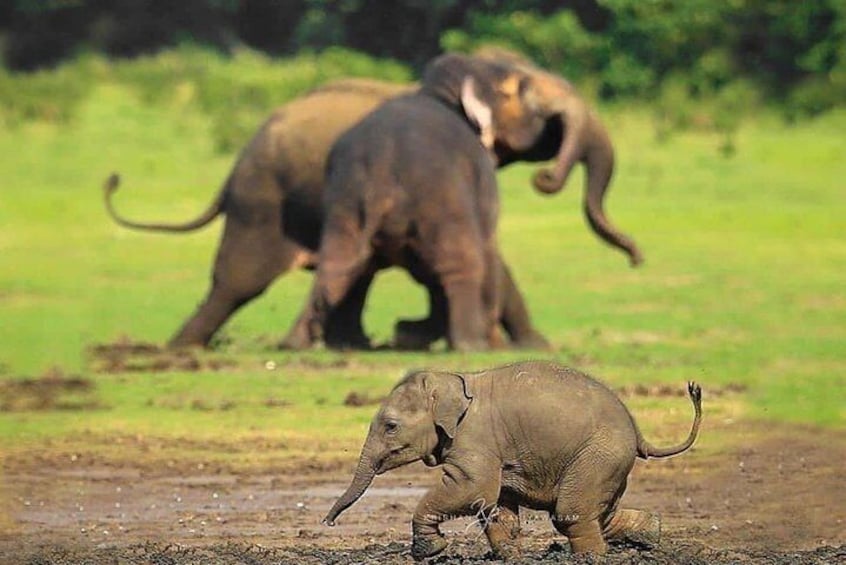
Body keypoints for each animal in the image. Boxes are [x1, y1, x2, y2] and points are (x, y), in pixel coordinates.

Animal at [324, 362, 704, 560]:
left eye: (390, 426)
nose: (328, 522)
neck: (451, 380)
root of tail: (638, 433)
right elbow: (495, 504)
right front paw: (508, 557)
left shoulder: (474, 439)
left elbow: (473, 488)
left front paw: (429, 550)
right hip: (608, 462)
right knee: (599, 512)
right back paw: (651, 534)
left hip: (599, 454)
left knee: (571, 514)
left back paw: (591, 558)